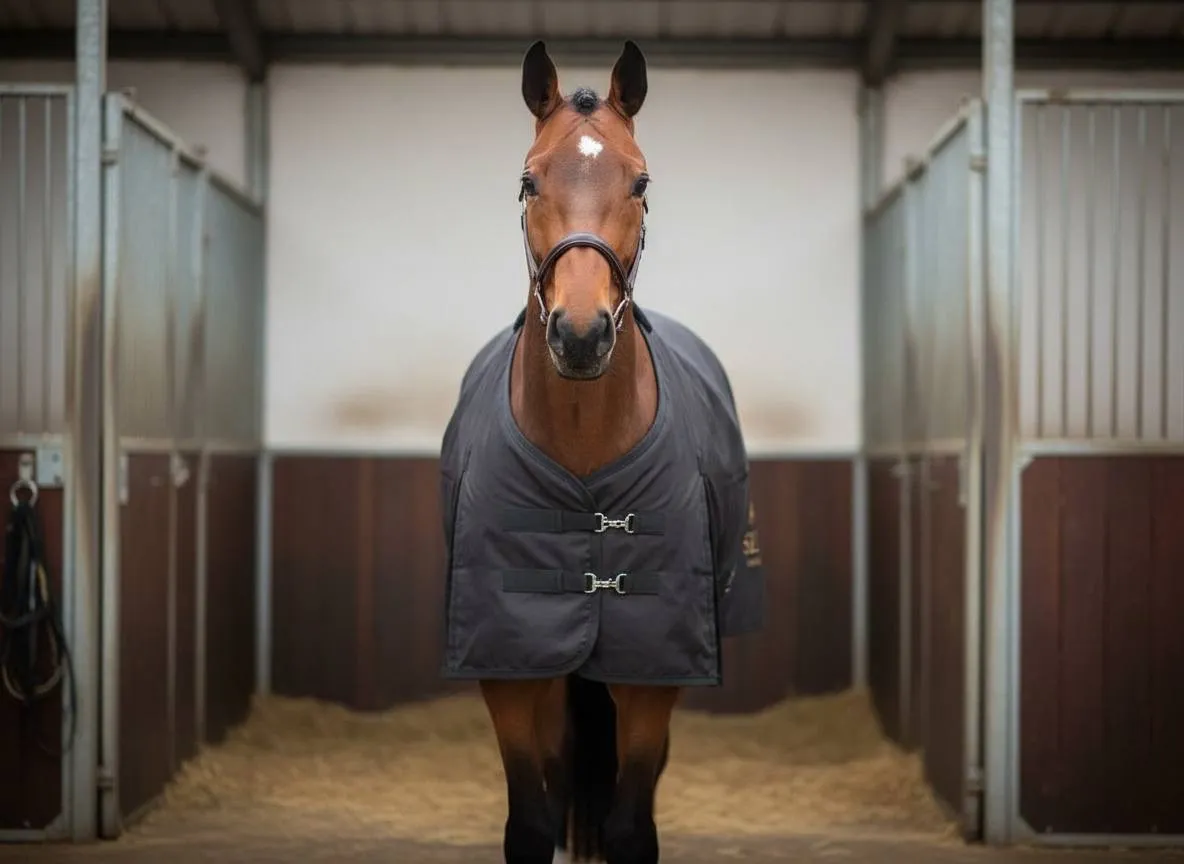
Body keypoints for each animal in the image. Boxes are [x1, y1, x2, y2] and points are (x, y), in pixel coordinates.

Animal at [439, 40, 760, 864]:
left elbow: (630, 828)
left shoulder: (653, 671)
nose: (580, 336)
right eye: (528, 179)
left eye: (640, 181)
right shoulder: (509, 665)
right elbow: (530, 823)